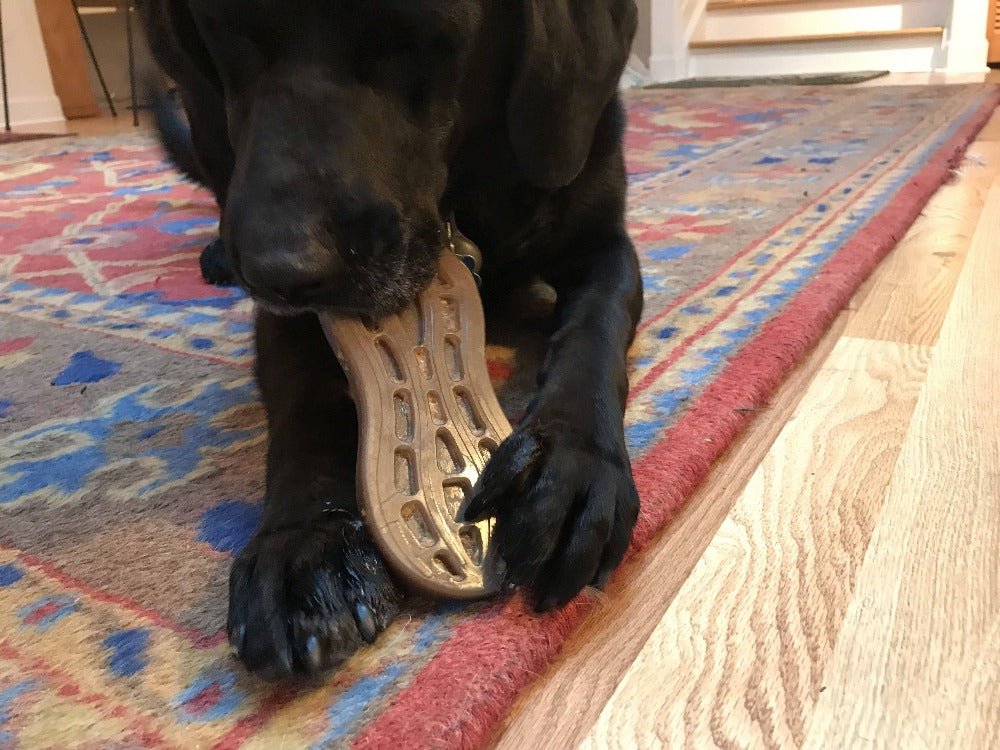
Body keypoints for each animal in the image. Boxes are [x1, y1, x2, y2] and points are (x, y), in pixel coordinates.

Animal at [139, 0, 640, 680]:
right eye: (224, 36)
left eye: (415, 34)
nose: (280, 268)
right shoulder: (284, 316)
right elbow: (303, 407)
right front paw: (303, 545)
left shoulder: (604, 245)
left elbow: (592, 334)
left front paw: (569, 460)